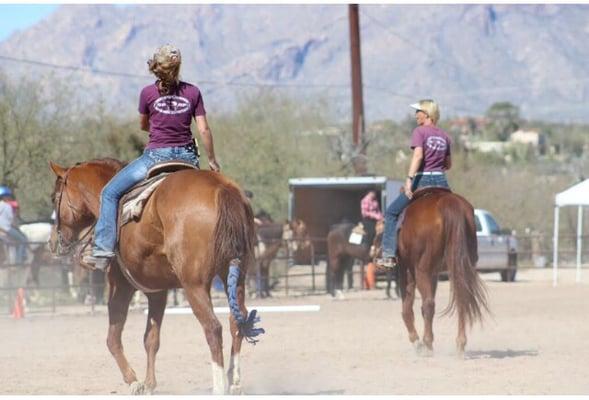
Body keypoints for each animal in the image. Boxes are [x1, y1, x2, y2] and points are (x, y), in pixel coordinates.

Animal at [47, 159, 262, 394]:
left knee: (213, 328)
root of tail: (222, 188)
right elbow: (151, 338)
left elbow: (113, 338)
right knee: (237, 320)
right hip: (235, 275)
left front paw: (134, 381)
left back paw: (219, 386)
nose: (52, 242)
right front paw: (149, 384)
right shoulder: (157, 292)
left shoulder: (120, 285)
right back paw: (235, 382)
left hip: (194, 285)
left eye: (54, 198)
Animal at [398, 188, 490, 356]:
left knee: (428, 303)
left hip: (422, 270)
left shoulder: (407, 268)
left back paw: (427, 343)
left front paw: (416, 341)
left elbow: (407, 306)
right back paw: (460, 344)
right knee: (461, 299)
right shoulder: (434, 273)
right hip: (458, 268)